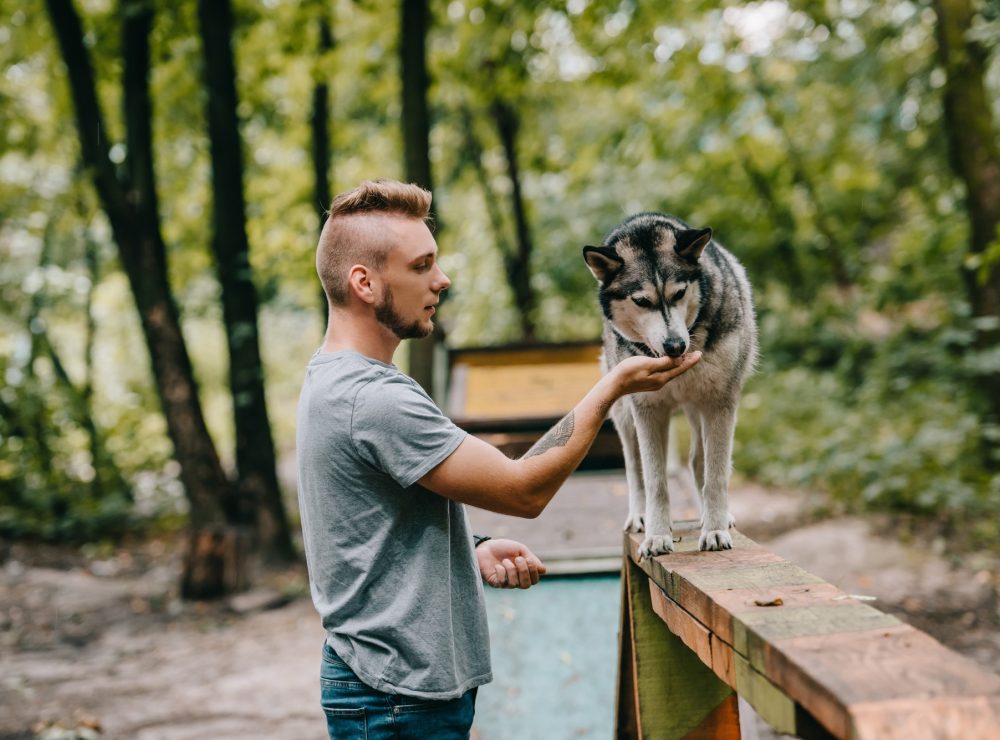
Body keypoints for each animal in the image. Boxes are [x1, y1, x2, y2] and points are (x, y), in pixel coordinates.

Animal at [584, 212, 752, 556]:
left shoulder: (720, 403)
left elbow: (715, 474)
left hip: (699, 409)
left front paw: (714, 529)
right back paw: (639, 517)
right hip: (624, 415)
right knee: (634, 468)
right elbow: (655, 480)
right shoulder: (649, 411)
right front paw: (657, 536)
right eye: (641, 301)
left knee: (698, 461)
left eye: (679, 293)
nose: (675, 346)